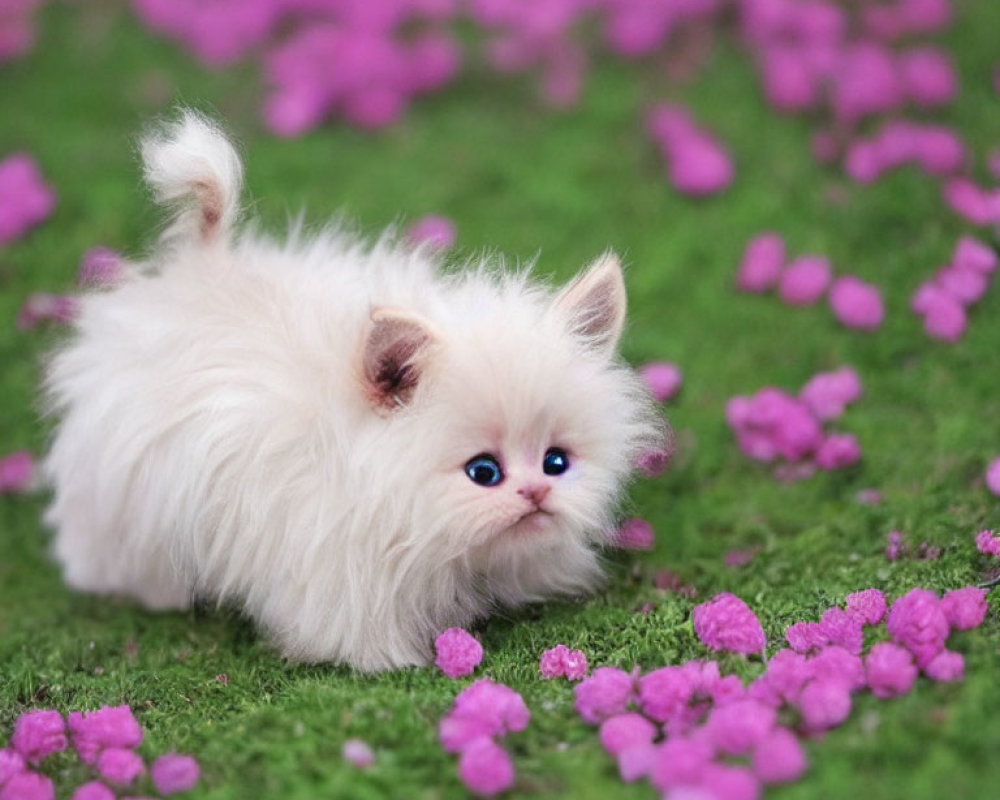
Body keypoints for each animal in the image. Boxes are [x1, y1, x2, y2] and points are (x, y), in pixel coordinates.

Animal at [43, 112, 672, 672]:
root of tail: (198, 271)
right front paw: (387, 661)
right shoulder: (338, 567)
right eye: (484, 472)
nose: (537, 492)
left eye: (556, 461)